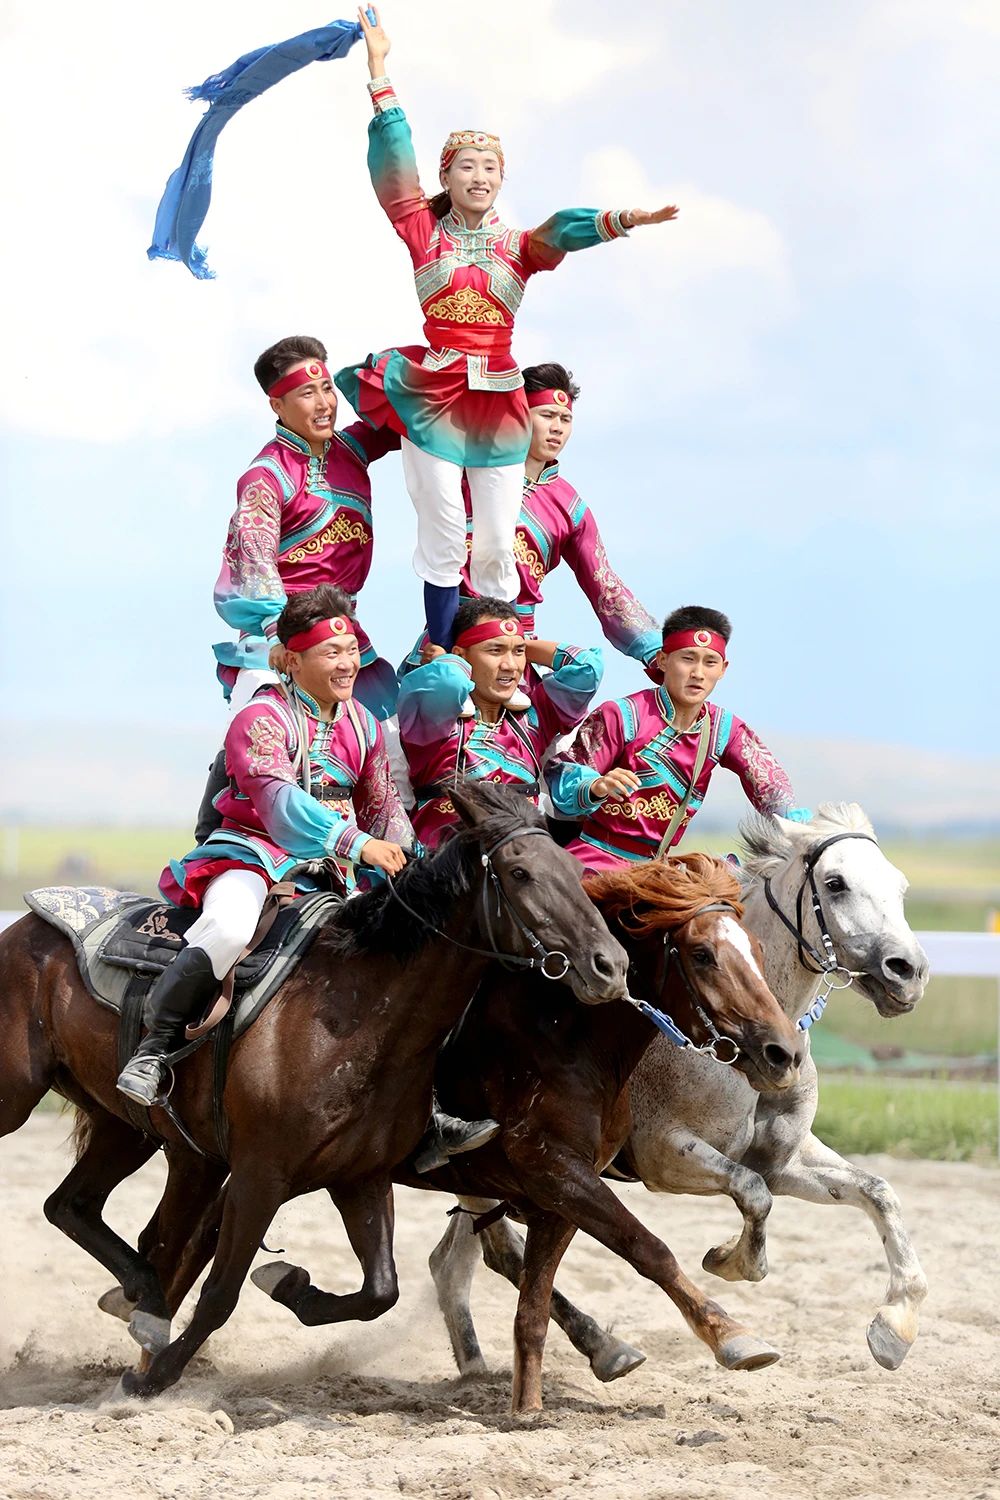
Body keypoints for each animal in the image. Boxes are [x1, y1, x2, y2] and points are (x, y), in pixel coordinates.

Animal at [0, 780, 626, 1398]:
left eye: (574, 869)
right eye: (520, 872)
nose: (610, 965)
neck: (352, 1015)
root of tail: (25, 926)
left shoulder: (360, 1179)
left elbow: (380, 1290)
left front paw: (289, 1285)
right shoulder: (258, 1178)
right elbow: (220, 1294)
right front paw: (152, 1379)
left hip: (131, 1130)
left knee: (73, 1207)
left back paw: (143, 1293)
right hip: (27, 1099)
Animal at [428, 804, 929, 1374]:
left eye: (900, 885)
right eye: (836, 883)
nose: (908, 971)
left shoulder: (783, 1161)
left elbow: (877, 1192)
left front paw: (894, 1327)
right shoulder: (664, 1154)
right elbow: (750, 1192)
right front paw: (731, 1262)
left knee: (452, 1261)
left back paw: (484, 1367)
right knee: (492, 1254)